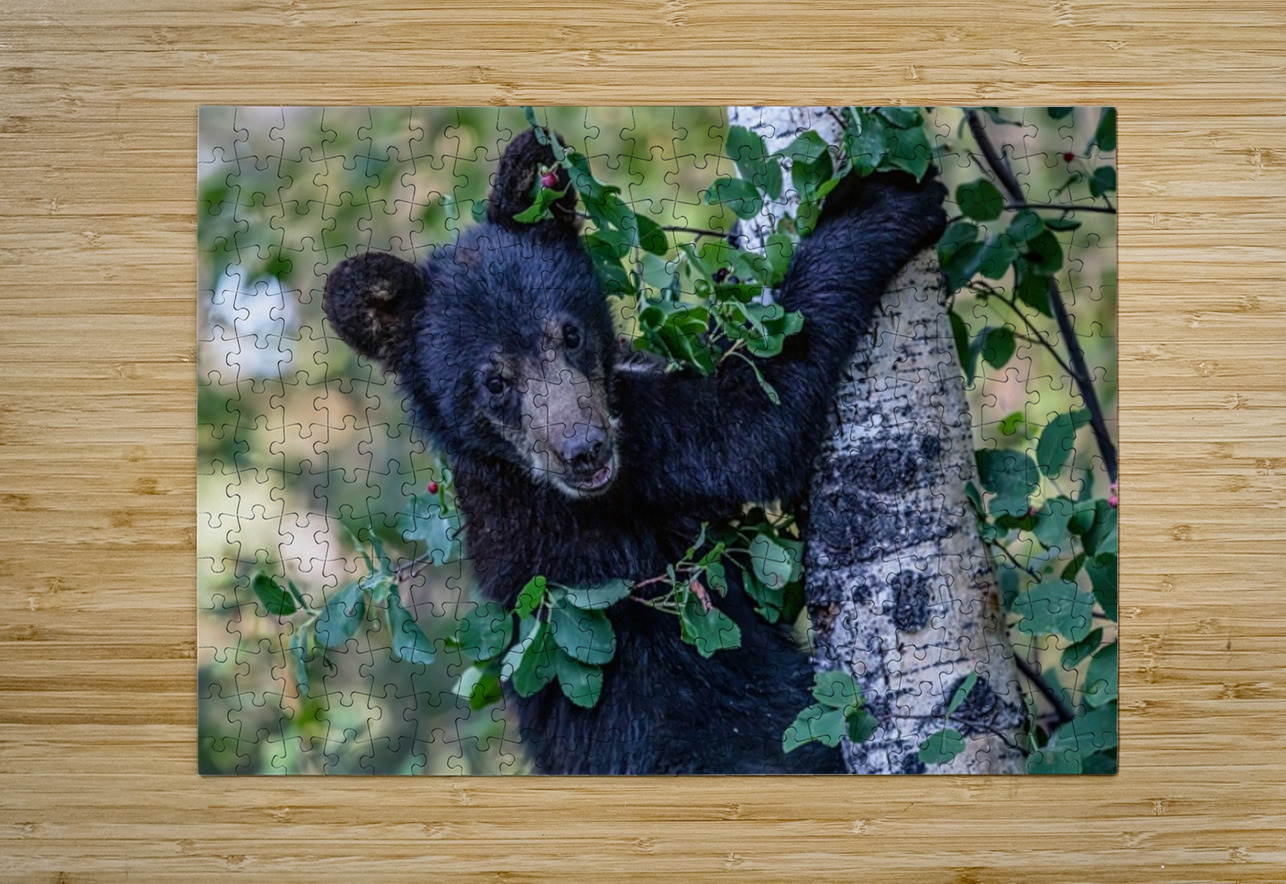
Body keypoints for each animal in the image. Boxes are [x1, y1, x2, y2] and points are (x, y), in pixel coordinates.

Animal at [322, 128, 946, 774]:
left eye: (569, 333)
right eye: (494, 381)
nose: (586, 450)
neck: (512, 472)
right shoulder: (636, 468)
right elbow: (750, 427)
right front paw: (880, 204)